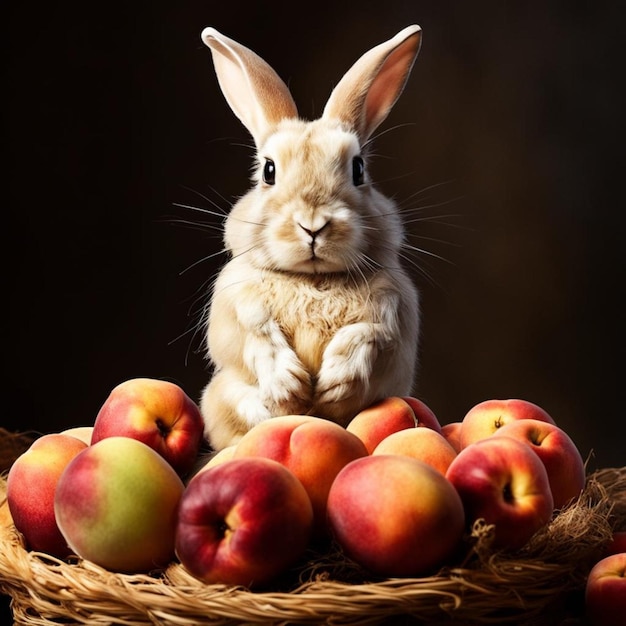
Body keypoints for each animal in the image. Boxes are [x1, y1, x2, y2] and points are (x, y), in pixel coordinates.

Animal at [199, 24, 424, 448]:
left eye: (358, 169)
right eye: (268, 170)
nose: (313, 225)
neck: (314, 281)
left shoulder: (393, 314)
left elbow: (371, 335)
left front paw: (336, 384)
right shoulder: (237, 306)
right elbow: (257, 335)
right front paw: (290, 384)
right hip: (219, 396)